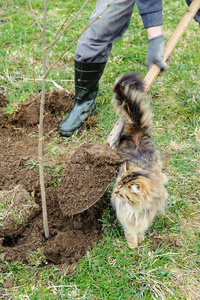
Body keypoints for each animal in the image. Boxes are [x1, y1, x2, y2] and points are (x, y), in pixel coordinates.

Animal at [110, 72, 168, 248]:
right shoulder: (125, 217)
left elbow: (141, 228)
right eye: (118, 186)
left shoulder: (145, 216)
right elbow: (130, 231)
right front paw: (132, 245)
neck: (135, 208)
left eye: (122, 192)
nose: (115, 192)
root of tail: (137, 130)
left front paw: (140, 239)